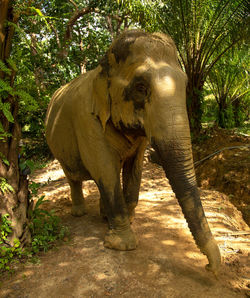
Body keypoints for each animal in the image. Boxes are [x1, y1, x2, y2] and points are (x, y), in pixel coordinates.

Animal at [45, 29, 221, 274]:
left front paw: (124, 220)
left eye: (186, 84)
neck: (103, 68)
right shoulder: (87, 120)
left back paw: (103, 216)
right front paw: (121, 244)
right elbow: (105, 169)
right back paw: (79, 212)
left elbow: (135, 168)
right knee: (73, 176)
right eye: (140, 88)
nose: (209, 267)